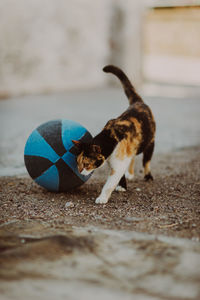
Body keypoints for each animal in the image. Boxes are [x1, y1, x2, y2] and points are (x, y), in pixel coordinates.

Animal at [72, 65, 155, 204]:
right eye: (78, 163)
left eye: (86, 164)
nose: (80, 172)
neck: (109, 137)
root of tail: (138, 102)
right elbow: (120, 174)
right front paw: (122, 186)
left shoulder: (119, 164)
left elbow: (109, 183)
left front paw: (102, 198)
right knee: (133, 157)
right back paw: (130, 173)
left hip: (150, 142)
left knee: (146, 161)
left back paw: (148, 176)